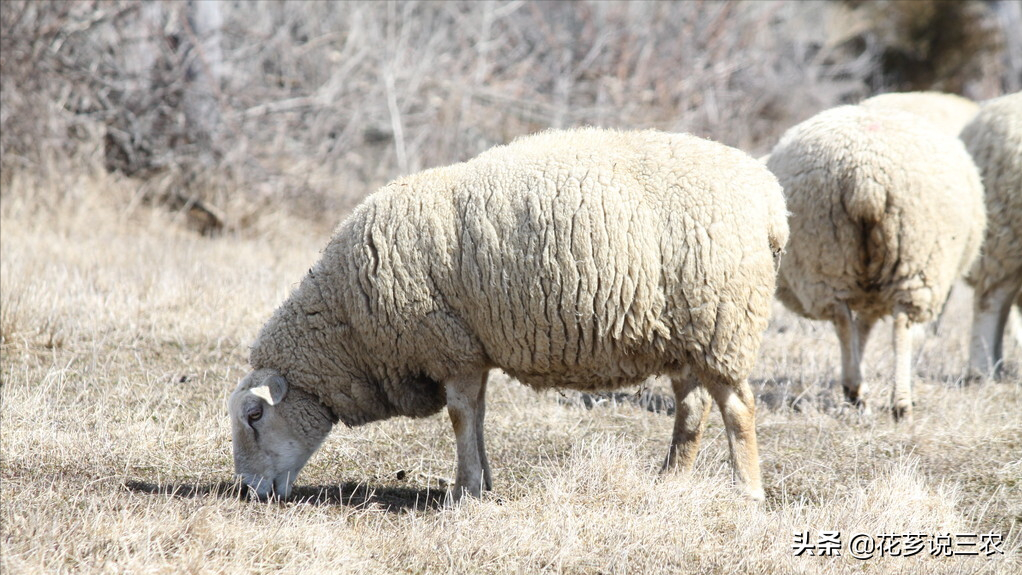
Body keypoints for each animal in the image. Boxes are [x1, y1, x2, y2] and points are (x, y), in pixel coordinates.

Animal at [227, 127, 784, 504]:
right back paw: (670, 481)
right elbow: (476, 416)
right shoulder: (471, 349)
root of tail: (770, 200)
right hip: (688, 329)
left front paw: (464, 490)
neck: (351, 329)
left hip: (723, 318)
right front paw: (482, 482)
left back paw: (747, 492)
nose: (251, 491)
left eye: (255, 416)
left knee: (737, 406)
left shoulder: (449, 345)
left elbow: (459, 416)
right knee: (692, 406)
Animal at [768, 105, 985, 422]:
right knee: (900, 327)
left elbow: (863, 329)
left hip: (827, 255)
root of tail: (865, 178)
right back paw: (899, 401)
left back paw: (856, 389)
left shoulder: (868, 292)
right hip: (917, 258)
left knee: (843, 320)